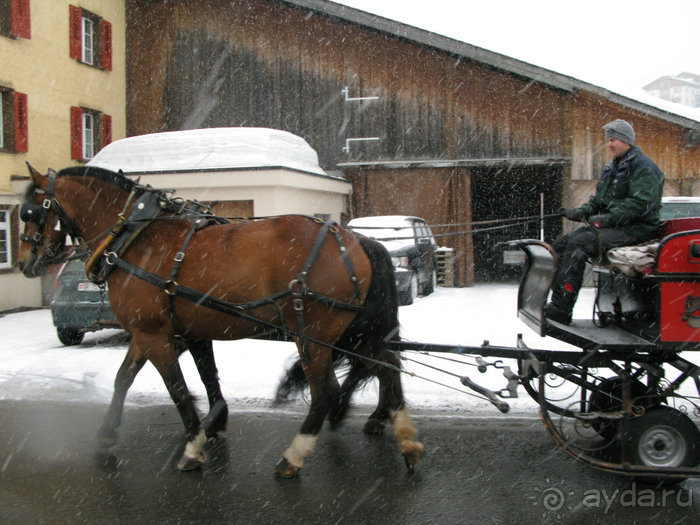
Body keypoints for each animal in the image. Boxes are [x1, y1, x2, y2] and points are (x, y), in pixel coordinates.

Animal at [17, 164, 422, 474]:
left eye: (29, 213)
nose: (24, 262)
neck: (135, 238)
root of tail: (354, 238)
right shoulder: (163, 332)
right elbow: (131, 379)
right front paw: (106, 437)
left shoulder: (154, 334)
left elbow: (178, 389)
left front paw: (193, 447)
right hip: (356, 329)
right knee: (385, 368)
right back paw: (403, 439)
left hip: (314, 332)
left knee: (329, 391)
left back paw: (295, 455)